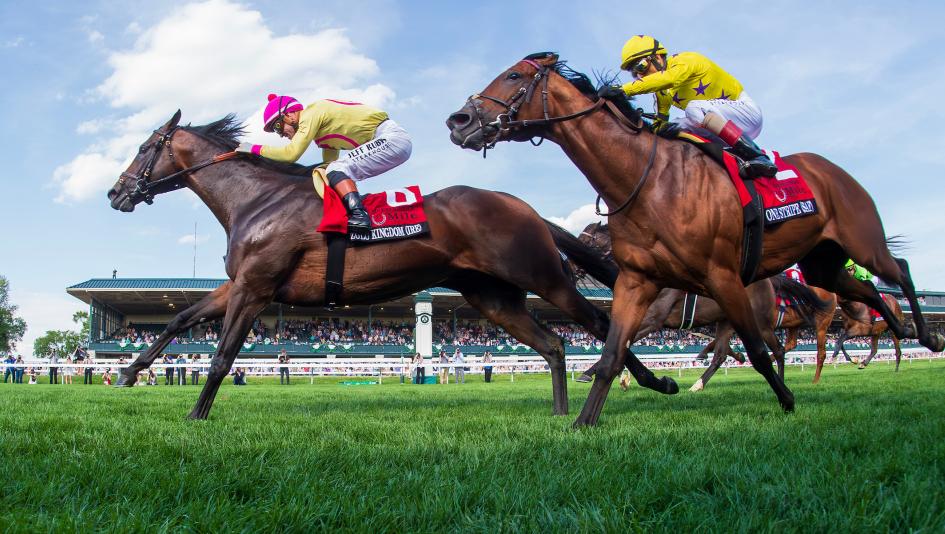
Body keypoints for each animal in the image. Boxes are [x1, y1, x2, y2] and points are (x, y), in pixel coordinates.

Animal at [106, 111, 677, 419]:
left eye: (145, 147)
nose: (116, 193)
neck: (258, 199)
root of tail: (526, 208)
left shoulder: (256, 286)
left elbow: (223, 355)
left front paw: (195, 413)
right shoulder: (241, 283)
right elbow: (181, 318)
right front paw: (129, 372)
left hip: (543, 277)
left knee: (601, 321)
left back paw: (653, 383)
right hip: (493, 298)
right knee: (556, 343)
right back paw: (561, 411)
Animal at [446, 52, 943, 426]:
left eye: (514, 75)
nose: (459, 119)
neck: (648, 180)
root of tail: (834, 170)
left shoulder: (720, 276)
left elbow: (757, 352)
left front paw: (787, 400)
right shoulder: (638, 281)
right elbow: (612, 352)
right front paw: (584, 421)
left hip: (861, 243)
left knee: (896, 272)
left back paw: (926, 336)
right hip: (823, 263)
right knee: (863, 293)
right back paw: (900, 331)